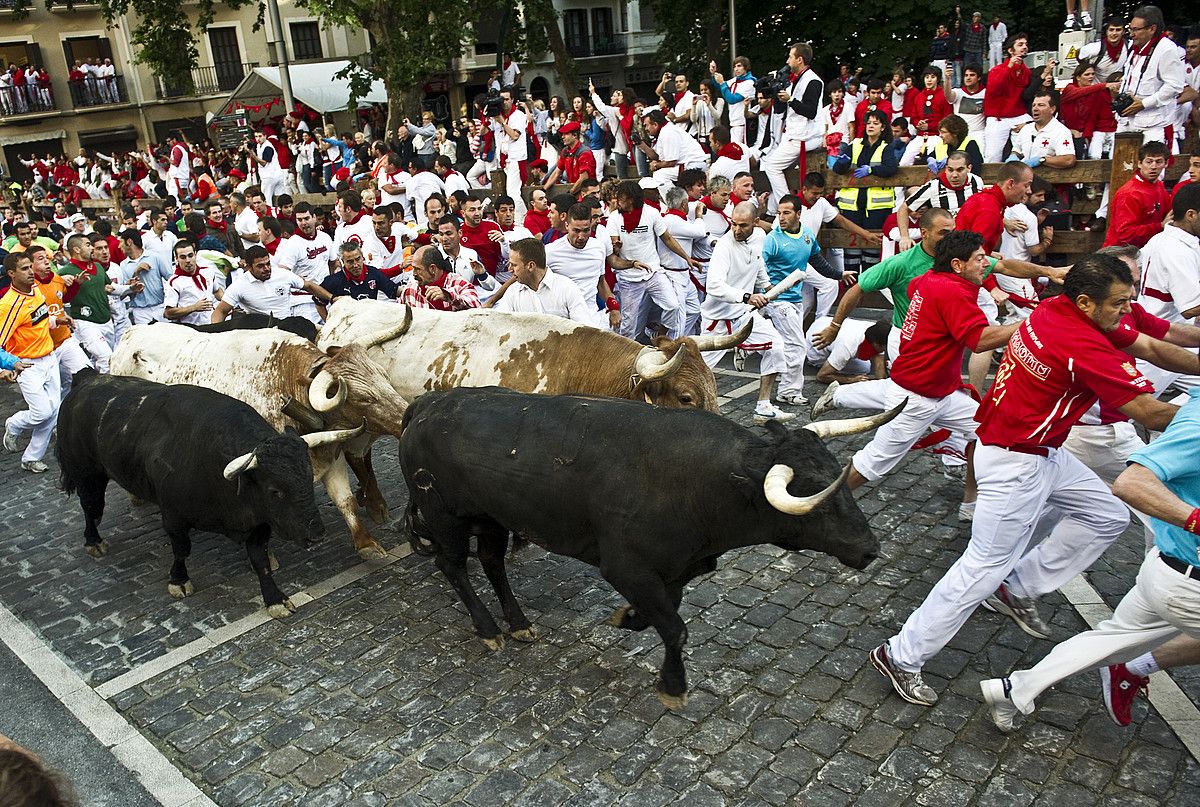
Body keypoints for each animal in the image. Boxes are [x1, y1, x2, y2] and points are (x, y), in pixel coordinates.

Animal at [112, 317, 412, 562]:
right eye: (362, 398)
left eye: (384, 378)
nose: (405, 418)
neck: (284, 382)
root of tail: (130, 334)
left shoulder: (328, 451)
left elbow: (345, 500)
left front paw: (366, 543)